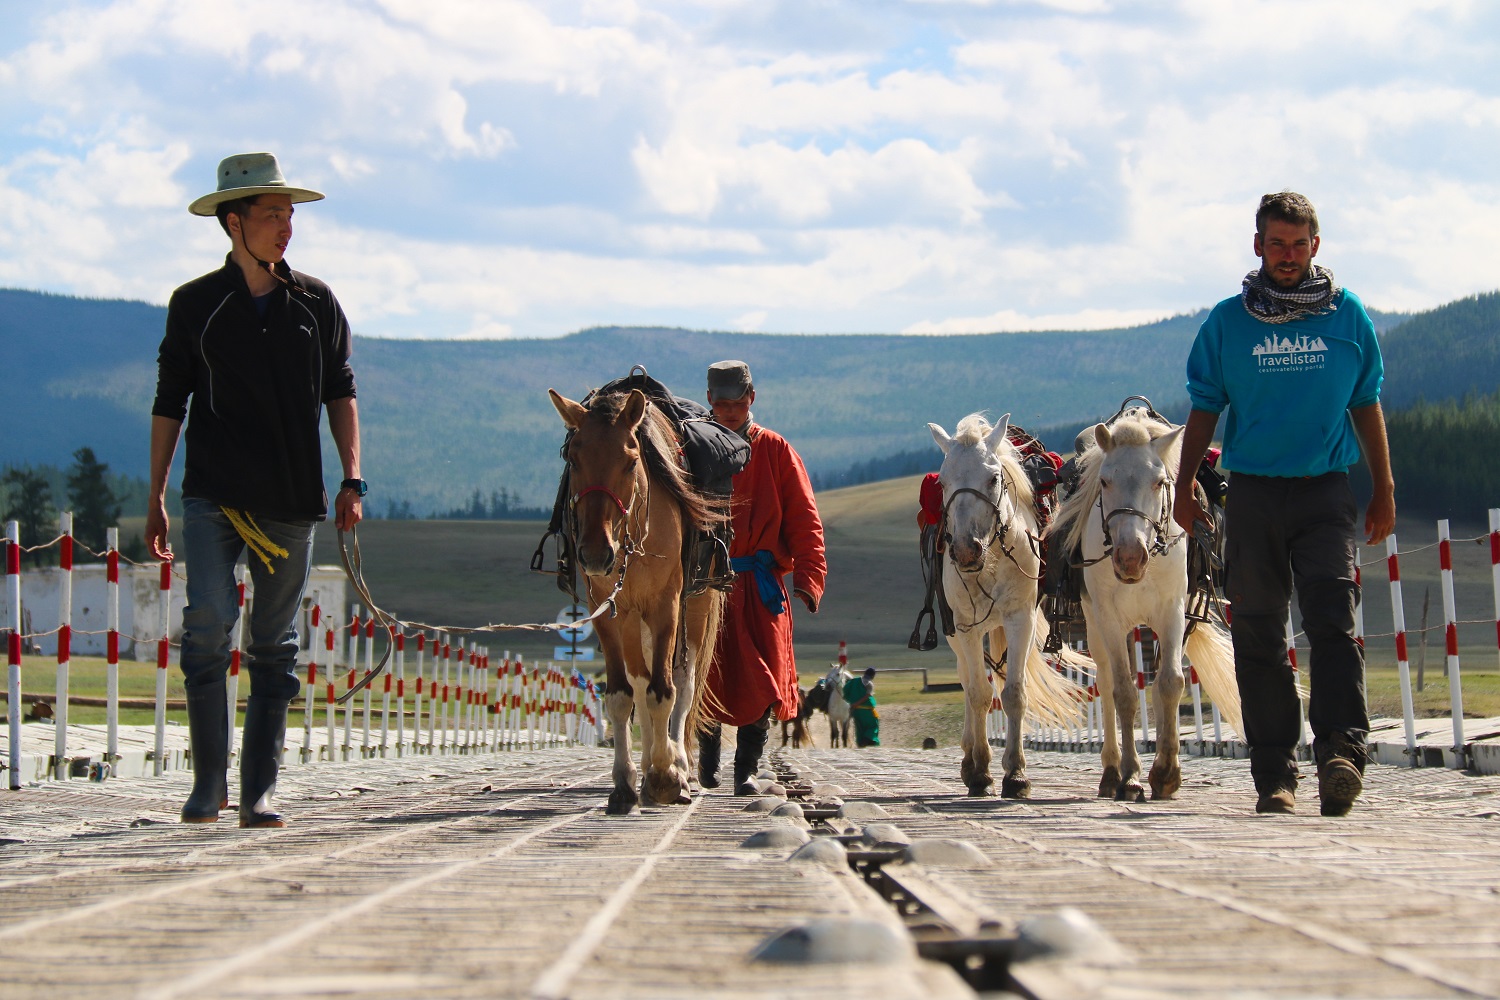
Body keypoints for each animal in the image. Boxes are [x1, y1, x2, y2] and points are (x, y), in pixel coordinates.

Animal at [549, 383, 729, 815]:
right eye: (573, 459)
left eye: (631, 462)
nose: (596, 554)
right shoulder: (609, 611)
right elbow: (623, 694)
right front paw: (626, 784)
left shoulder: (666, 605)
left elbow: (664, 690)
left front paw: (667, 776)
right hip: (633, 618)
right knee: (640, 678)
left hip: (695, 607)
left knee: (683, 681)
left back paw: (680, 766)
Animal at [930, 413, 1086, 797]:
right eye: (943, 481)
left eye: (993, 477)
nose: (965, 550)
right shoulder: (965, 627)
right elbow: (979, 693)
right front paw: (980, 772)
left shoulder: (1020, 620)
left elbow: (1013, 692)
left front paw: (1015, 774)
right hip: (957, 635)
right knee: (968, 680)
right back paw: (969, 757)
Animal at [1050, 410, 1236, 803]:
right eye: (1104, 481)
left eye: (1159, 481)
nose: (1130, 558)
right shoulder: (1109, 618)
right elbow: (1123, 691)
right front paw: (1131, 777)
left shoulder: (1172, 612)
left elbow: (1170, 682)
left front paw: (1166, 773)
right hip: (1096, 626)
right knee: (1106, 681)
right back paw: (1110, 772)